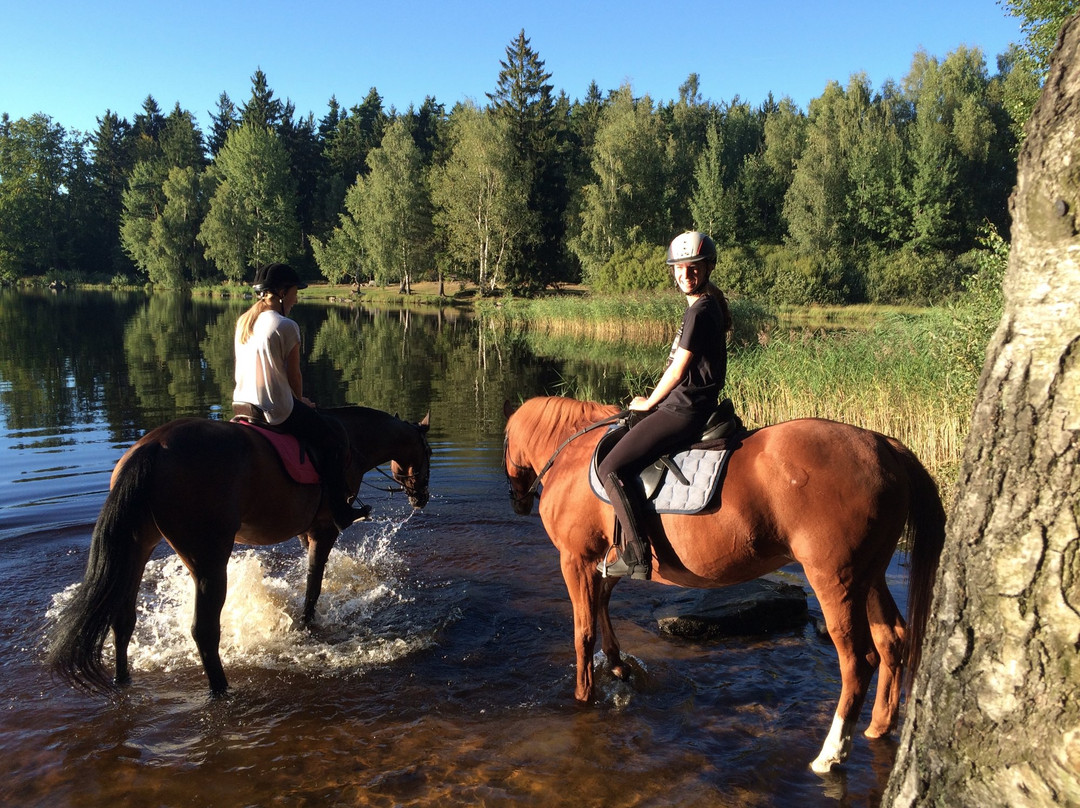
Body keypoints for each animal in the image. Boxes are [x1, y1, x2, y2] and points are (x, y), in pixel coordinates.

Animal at [48, 406, 429, 695]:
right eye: (427, 453)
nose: (421, 498)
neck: (350, 439)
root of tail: (153, 447)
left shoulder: (306, 533)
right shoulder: (324, 530)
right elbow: (313, 585)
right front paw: (306, 625)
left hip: (138, 548)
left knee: (123, 619)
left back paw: (123, 679)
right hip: (208, 559)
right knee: (204, 630)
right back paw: (220, 690)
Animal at [501, 395, 941, 773]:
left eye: (505, 444)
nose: (518, 502)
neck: (573, 455)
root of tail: (884, 445)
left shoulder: (575, 560)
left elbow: (583, 631)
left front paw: (583, 697)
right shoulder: (604, 563)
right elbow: (603, 611)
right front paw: (617, 666)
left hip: (835, 578)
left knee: (858, 659)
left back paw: (831, 754)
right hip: (870, 575)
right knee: (892, 639)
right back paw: (879, 727)